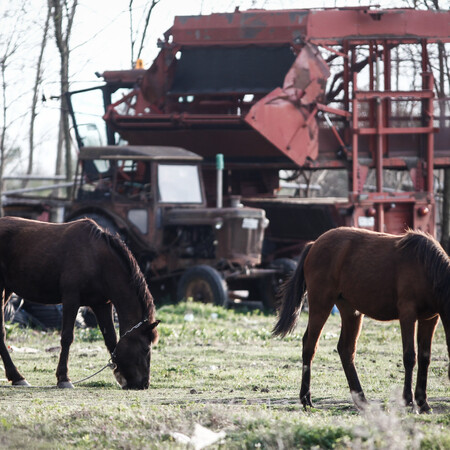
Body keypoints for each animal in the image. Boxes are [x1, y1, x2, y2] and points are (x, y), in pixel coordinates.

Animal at [0, 216, 160, 388]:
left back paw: (16, 376)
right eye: (145, 349)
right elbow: (67, 337)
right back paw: (17, 376)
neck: (97, 258)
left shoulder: (102, 305)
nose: (143, 384)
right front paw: (64, 378)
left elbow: (111, 338)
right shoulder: (71, 299)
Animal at [274, 227, 450, 414]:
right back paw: (306, 399)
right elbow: (410, 356)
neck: (426, 267)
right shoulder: (408, 314)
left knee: (346, 349)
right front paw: (408, 400)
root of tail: (314, 244)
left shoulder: (430, 319)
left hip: (351, 311)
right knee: (310, 345)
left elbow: (425, 358)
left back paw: (361, 400)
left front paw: (423, 402)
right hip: (321, 305)